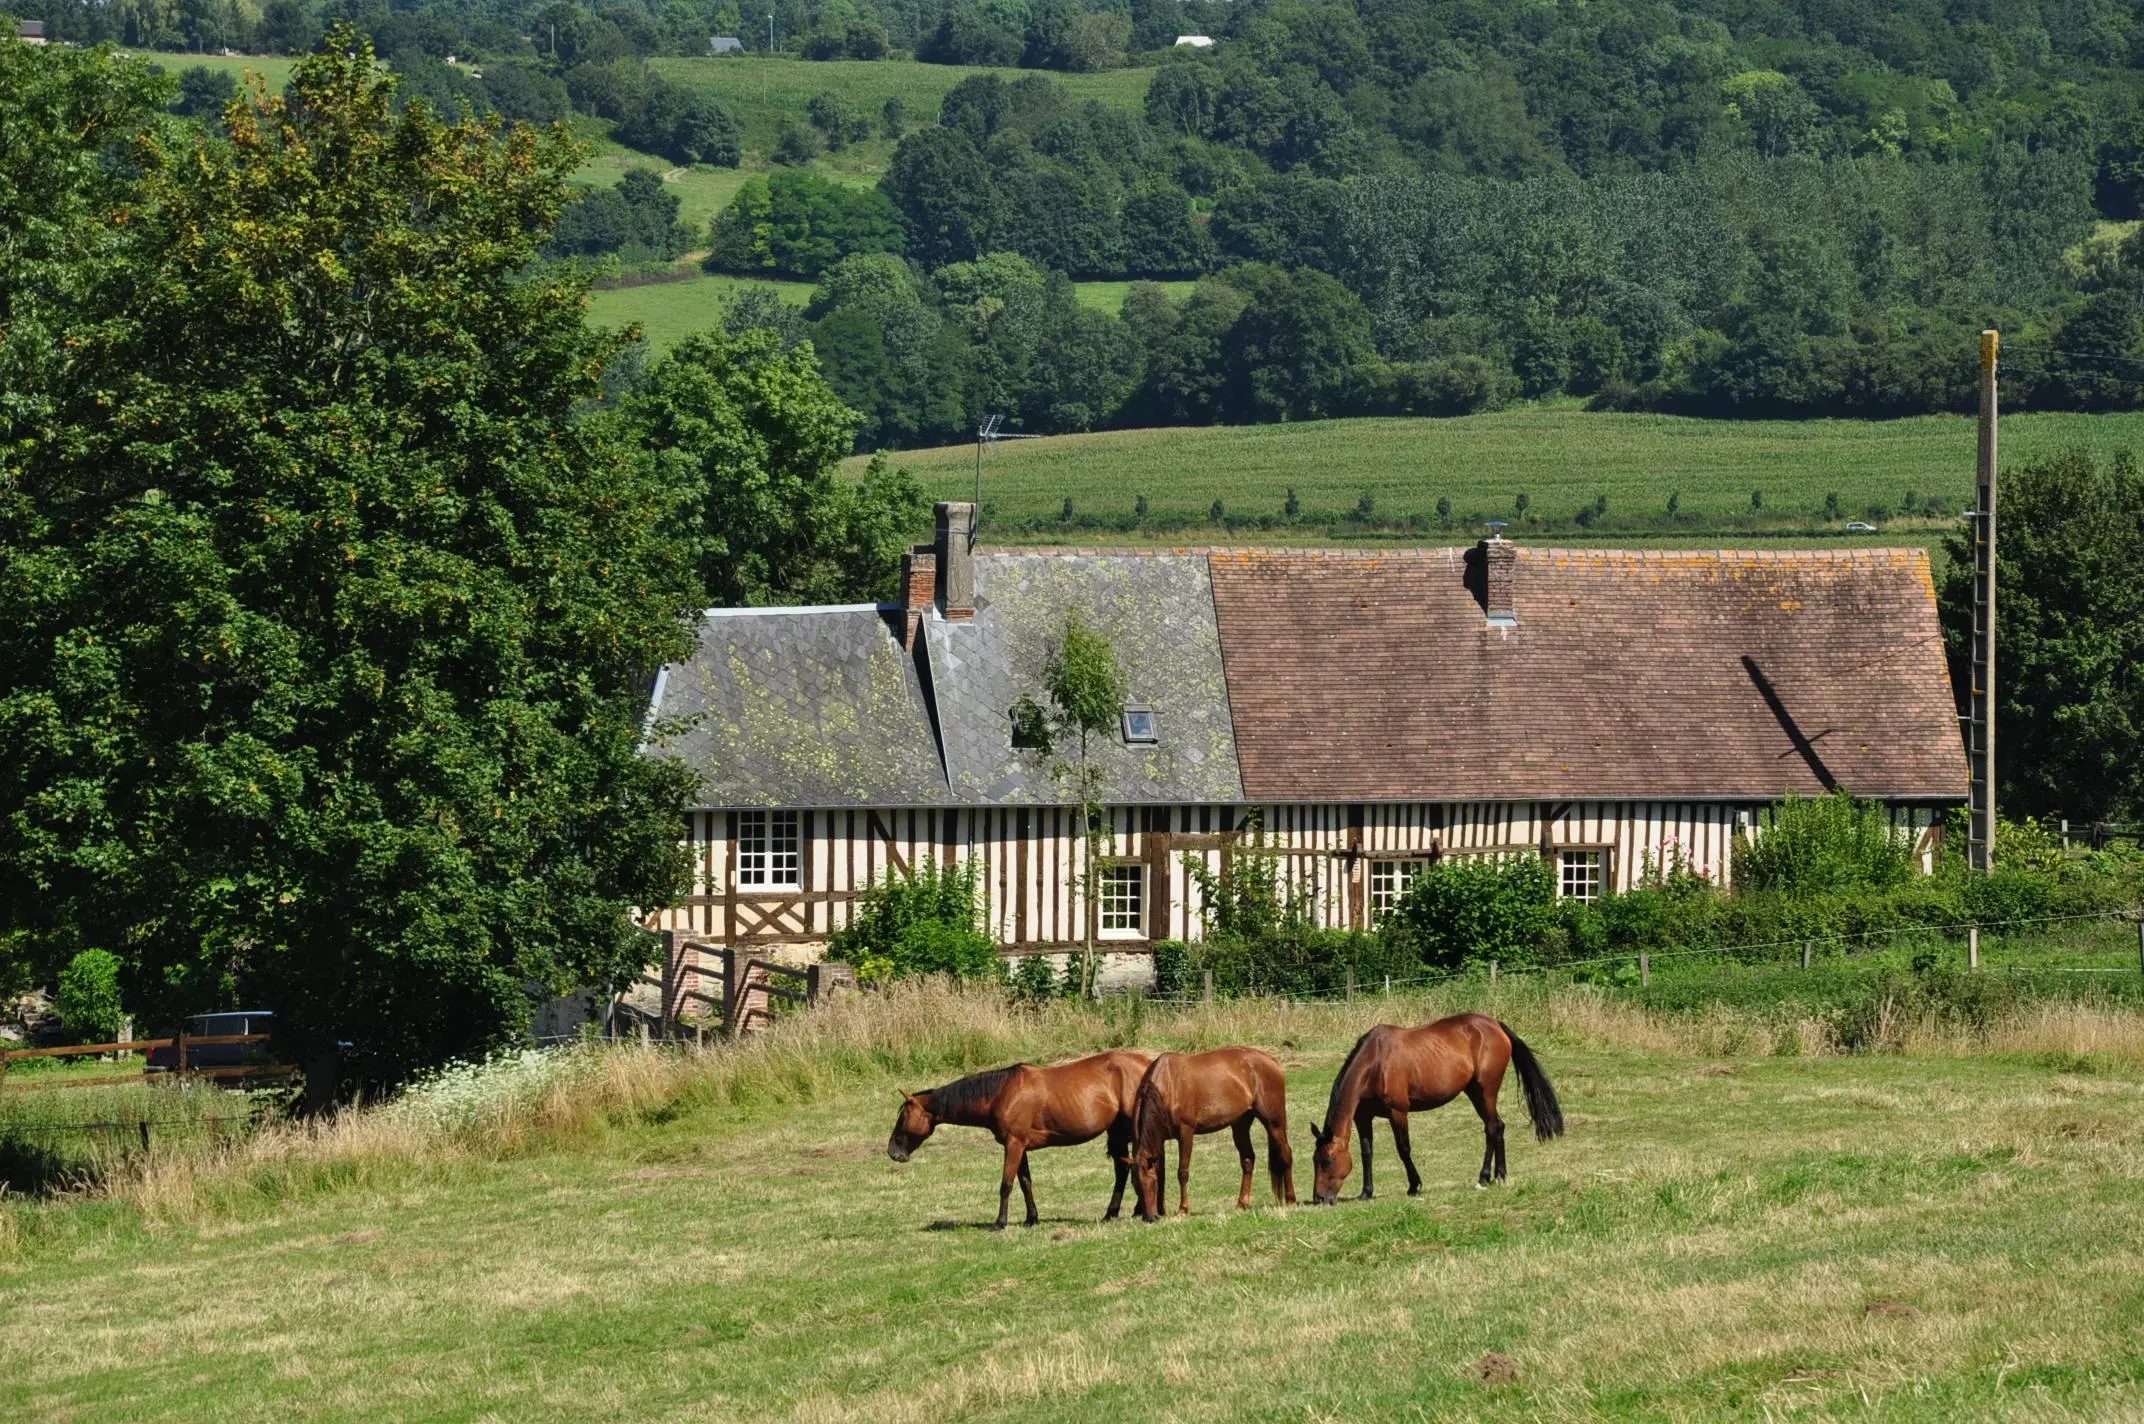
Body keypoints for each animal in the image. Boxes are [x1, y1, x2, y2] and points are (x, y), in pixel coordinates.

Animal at [887, 1050, 1157, 1226]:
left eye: (903, 1117)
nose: (893, 1152)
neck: (1000, 1094)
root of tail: (1147, 1063)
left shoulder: (1014, 1145)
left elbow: (1006, 1184)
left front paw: (1000, 1222)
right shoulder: (1021, 1147)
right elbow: (1026, 1182)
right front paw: (1031, 1218)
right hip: (1117, 1131)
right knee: (1124, 1169)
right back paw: (1116, 1212)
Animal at [1132, 1046, 1294, 1226]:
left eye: (1150, 1181)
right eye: (1135, 1184)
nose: (1149, 1217)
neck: (1166, 1085)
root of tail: (1272, 1061)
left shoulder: (1186, 1133)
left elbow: (1182, 1172)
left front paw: (1183, 1210)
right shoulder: (1159, 1140)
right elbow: (1162, 1172)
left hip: (1274, 1123)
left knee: (1286, 1153)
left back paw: (1290, 1200)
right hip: (1241, 1124)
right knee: (1248, 1160)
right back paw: (1241, 1204)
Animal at [1303, 1012, 1560, 1200]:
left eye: (1328, 1160)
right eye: (1314, 1160)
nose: (1319, 1198)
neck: (1375, 1065)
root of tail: (1495, 1024)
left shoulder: (1398, 1112)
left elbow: (1403, 1149)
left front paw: (1414, 1186)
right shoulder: (1363, 1117)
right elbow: (1367, 1153)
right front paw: (1366, 1192)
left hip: (1486, 1091)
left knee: (1493, 1127)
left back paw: (1488, 1176)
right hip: (1474, 1093)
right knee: (1496, 1127)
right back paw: (1496, 1175)